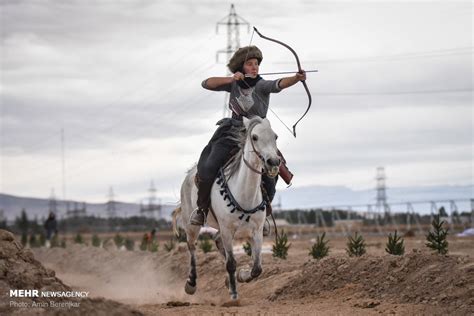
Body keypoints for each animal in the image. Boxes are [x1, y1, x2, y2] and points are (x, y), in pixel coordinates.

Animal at [172, 116, 280, 302]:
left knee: (216, 240)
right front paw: (234, 295)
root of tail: (189, 175)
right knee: (192, 247)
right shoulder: (227, 230)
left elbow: (257, 268)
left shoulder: (257, 231)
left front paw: (241, 276)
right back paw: (191, 284)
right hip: (191, 225)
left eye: (275, 137)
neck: (244, 193)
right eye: (255, 137)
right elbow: (231, 263)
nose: (273, 162)